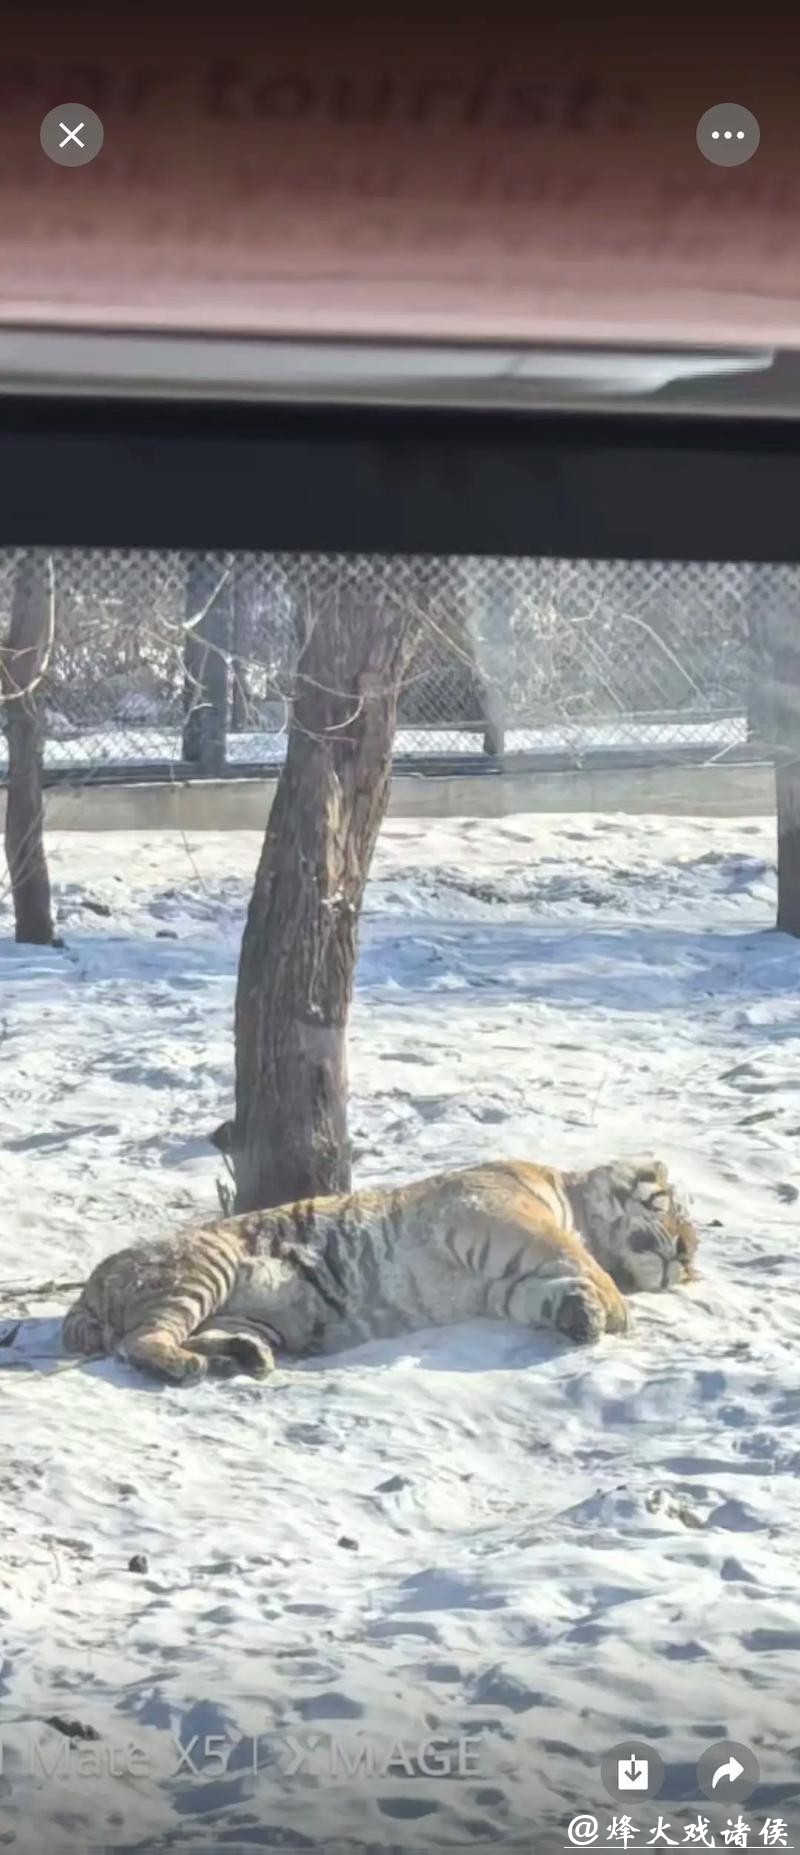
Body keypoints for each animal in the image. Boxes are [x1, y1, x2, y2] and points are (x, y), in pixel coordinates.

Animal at [60, 1156, 698, 1384]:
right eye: (677, 1208)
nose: (688, 1256)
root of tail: (83, 1296)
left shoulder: (502, 1286)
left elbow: (546, 1292)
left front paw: (582, 1313)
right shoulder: (502, 1212)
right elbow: (576, 1260)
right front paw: (613, 1306)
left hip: (248, 1314)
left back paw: (244, 1358)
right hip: (198, 1270)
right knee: (141, 1341)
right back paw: (187, 1367)